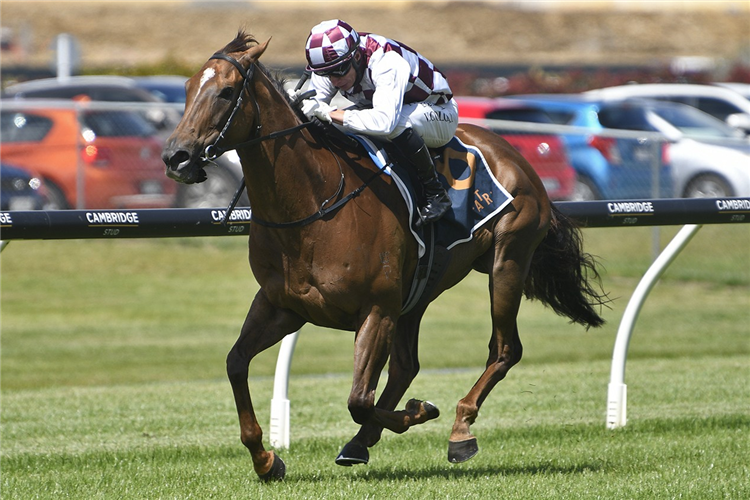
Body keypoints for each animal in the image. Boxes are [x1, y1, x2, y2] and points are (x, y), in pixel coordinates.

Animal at [162, 32, 608, 480]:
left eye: (226, 92)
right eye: (186, 88)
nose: (175, 157)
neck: (314, 204)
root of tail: (512, 153)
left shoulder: (376, 309)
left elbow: (359, 400)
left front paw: (421, 410)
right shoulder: (282, 306)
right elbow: (236, 362)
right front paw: (266, 459)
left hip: (507, 260)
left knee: (503, 349)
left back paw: (460, 428)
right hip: (419, 290)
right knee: (407, 365)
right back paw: (361, 443)